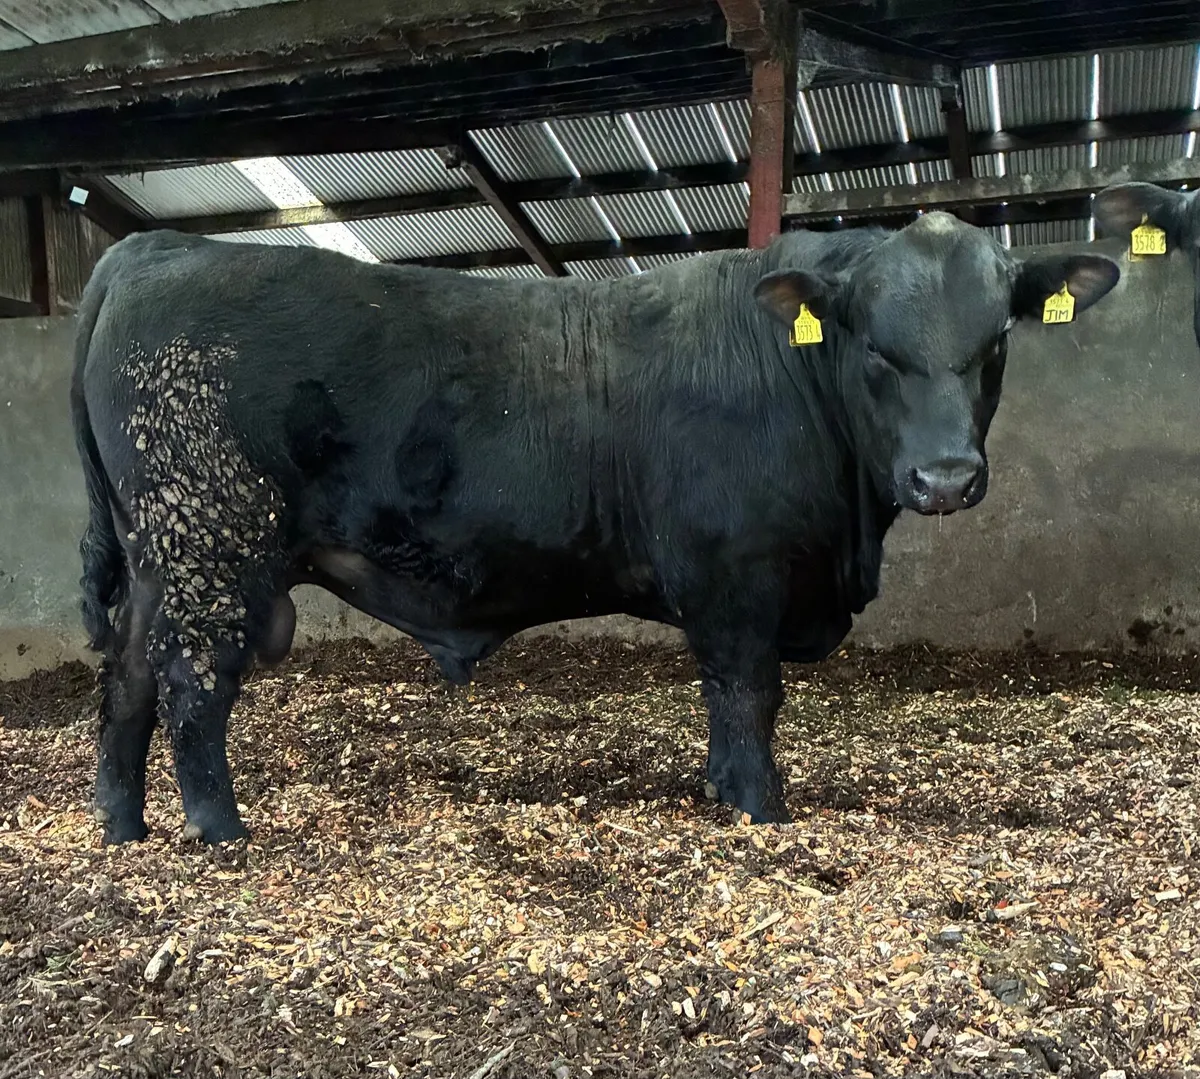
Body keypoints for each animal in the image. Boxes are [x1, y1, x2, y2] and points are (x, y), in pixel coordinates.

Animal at [71, 214, 1121, 845]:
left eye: (997, 341)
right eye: (875, 346)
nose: (945, 477)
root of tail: (154, 247)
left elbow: (729, 704)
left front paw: (721, 790)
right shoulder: (740, 577)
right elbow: (749, 696)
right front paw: (760, 809)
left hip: (161, 558)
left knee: (126, 681)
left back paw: (122, 826)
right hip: (211, 549)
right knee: (191, 686)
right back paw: (218, 829)